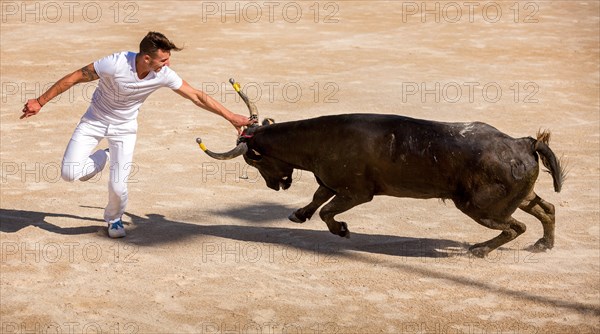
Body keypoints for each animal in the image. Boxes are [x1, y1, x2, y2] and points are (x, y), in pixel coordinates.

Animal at [197, 79, 564, 258]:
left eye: (252, 160)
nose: (276, 187)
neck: (319, 139)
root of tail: (523, 143)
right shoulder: (332, 183)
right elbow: (317, 198)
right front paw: (298, 214)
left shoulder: (357, 193)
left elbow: (327, 211)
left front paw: (342, 230)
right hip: (516, 196)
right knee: (545, 209)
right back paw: (543, 245)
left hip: (480, 207)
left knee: (515, 227)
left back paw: (480, 250)